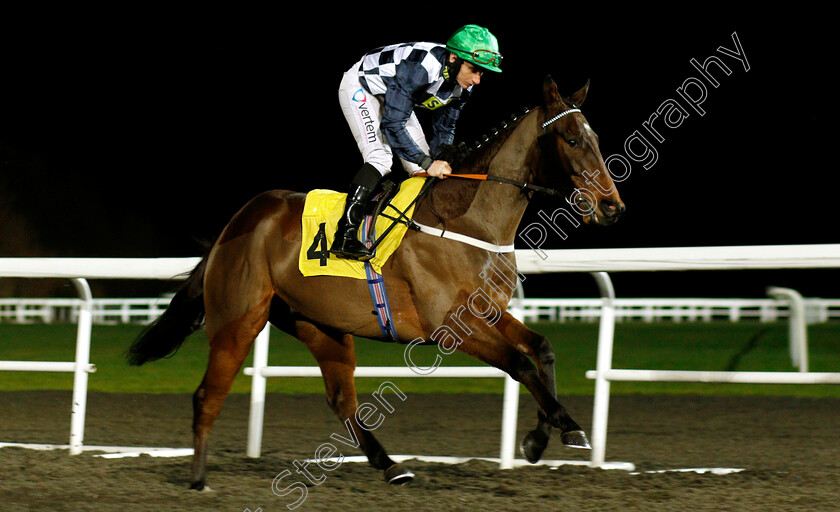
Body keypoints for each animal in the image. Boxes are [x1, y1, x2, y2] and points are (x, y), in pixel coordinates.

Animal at [126, 75, 624, 488]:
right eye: (573, 138)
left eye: (597, 139)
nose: (612, 207)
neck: (467, 221)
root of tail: (237, 221)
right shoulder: (449, 326)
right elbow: (520, 363)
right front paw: (563, 425)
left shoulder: (486, 311)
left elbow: (542, 349)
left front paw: (546, 437)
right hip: (238, 320)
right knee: (208, 394)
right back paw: (198, 479)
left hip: (320, 325)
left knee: (341, 400)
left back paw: (391, 466)